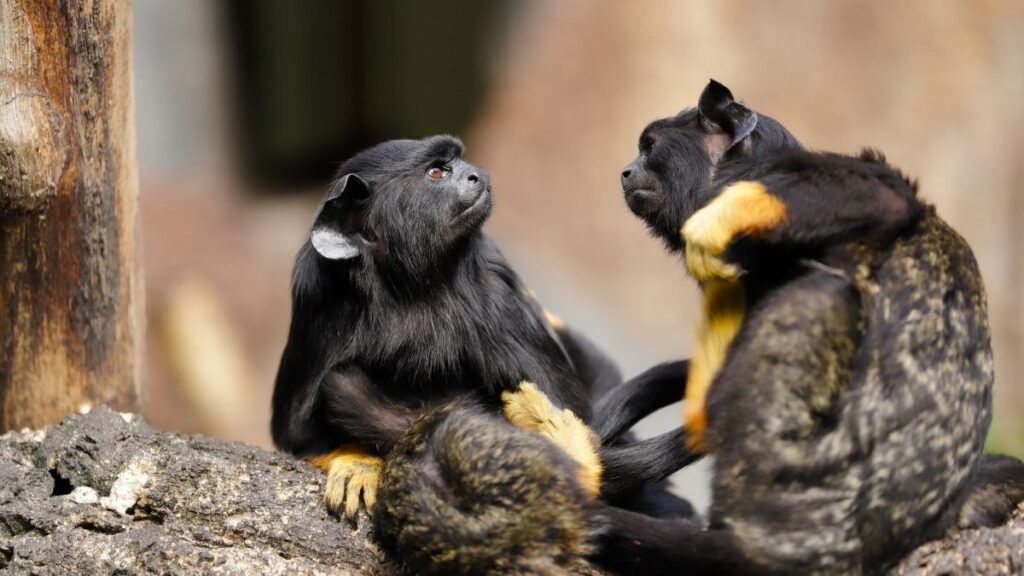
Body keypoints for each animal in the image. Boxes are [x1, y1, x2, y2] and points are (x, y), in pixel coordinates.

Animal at [274, 135, 696, 520]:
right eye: (438, 172)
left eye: (459, 161)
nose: (474, 174)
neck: (411, 289)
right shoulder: (321, 300)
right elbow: (297, 435)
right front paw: (358, 460)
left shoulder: (497, 296)